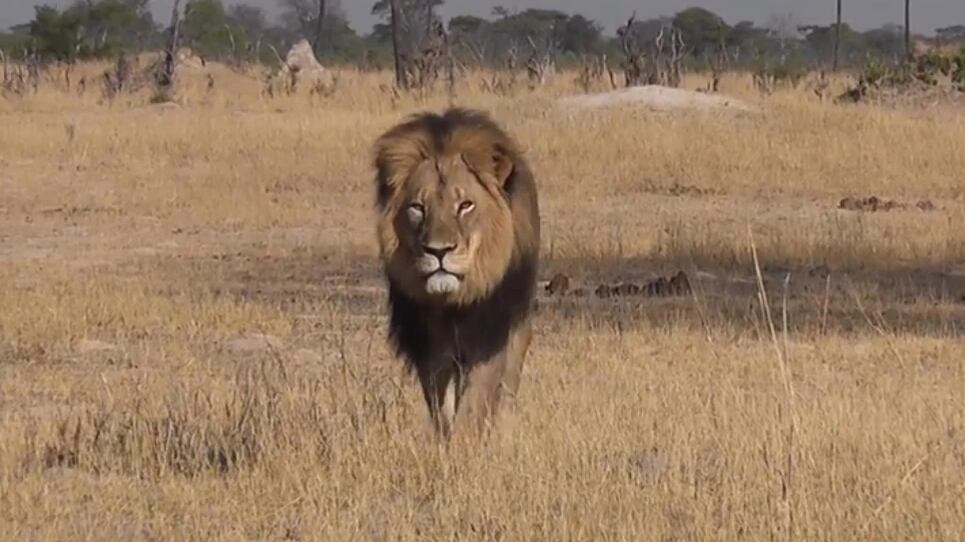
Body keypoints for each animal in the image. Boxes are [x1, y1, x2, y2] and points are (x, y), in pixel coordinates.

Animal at [371, 108, 540, 439]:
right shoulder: (430, 345)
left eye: (465, 205)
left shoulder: (490, 337)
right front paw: (446, 442)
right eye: (417, 207)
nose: (438, 251)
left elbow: (476, 403)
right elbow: (442, 407)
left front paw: (468, 442)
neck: (453, 303)